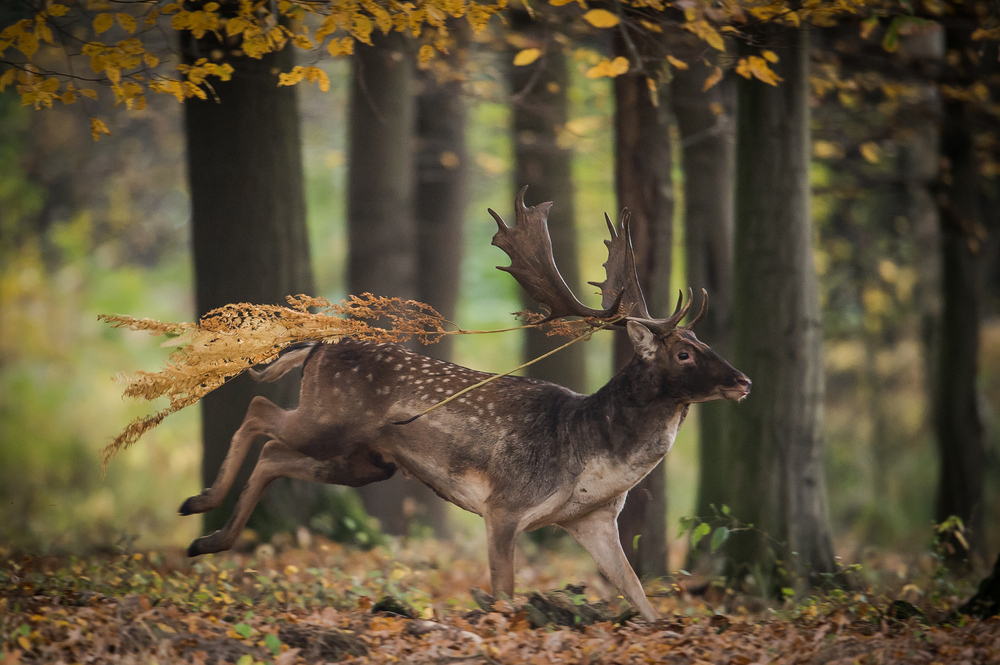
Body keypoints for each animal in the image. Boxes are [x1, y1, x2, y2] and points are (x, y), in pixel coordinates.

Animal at [178, 188, 752, 624]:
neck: (587, 456)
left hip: (365, 462)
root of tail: (317, 347)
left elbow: (638, 595)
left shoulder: (592, 520)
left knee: (274, 453)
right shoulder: (506, 505)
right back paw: (199, 503)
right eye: (683, 352)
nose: (744, 381)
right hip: (328, 420)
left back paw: (207, 539)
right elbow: (505, 593)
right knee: (259, 410)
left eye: (702, 341)